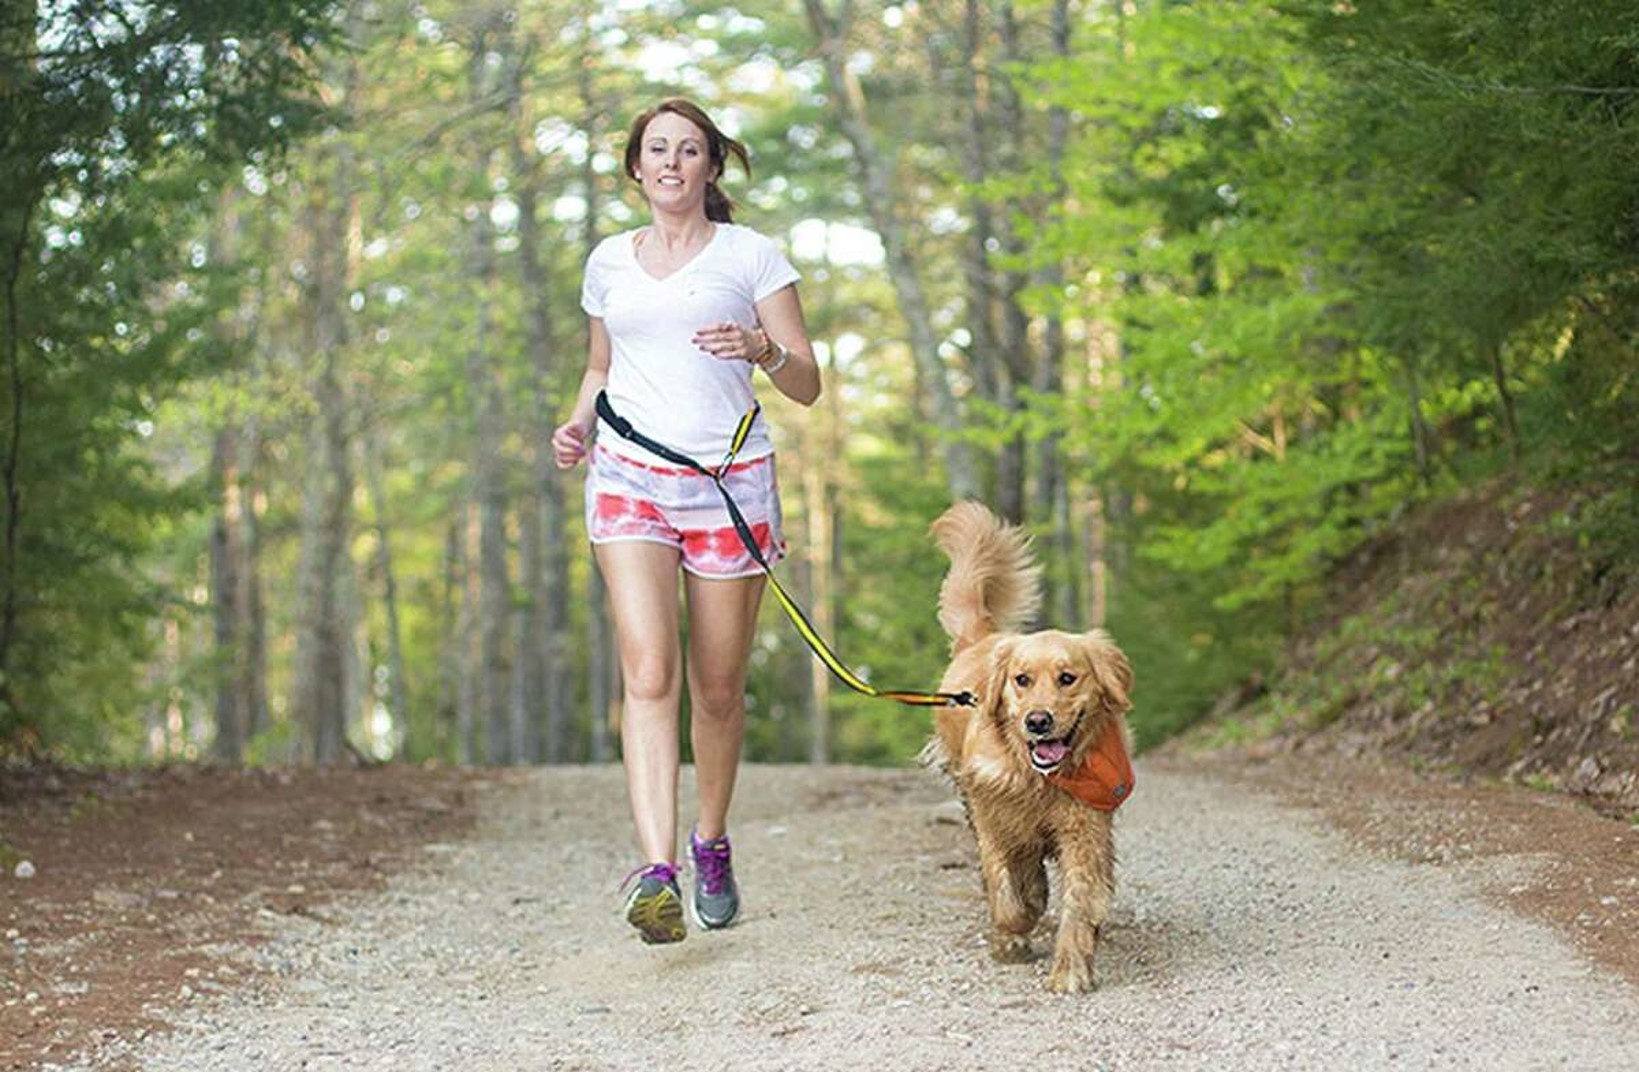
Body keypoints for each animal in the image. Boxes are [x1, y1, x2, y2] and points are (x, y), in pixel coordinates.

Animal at [930, 504, 1134, 996]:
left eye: (1068, 678)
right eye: (1021, 679)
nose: (1038, 721)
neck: (1036, 778)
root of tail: (982, 637)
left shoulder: (1085, 829)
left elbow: (1079, 900)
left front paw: (1071, 969)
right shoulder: (994, 821)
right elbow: (1007, 890)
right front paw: (1014, 934)